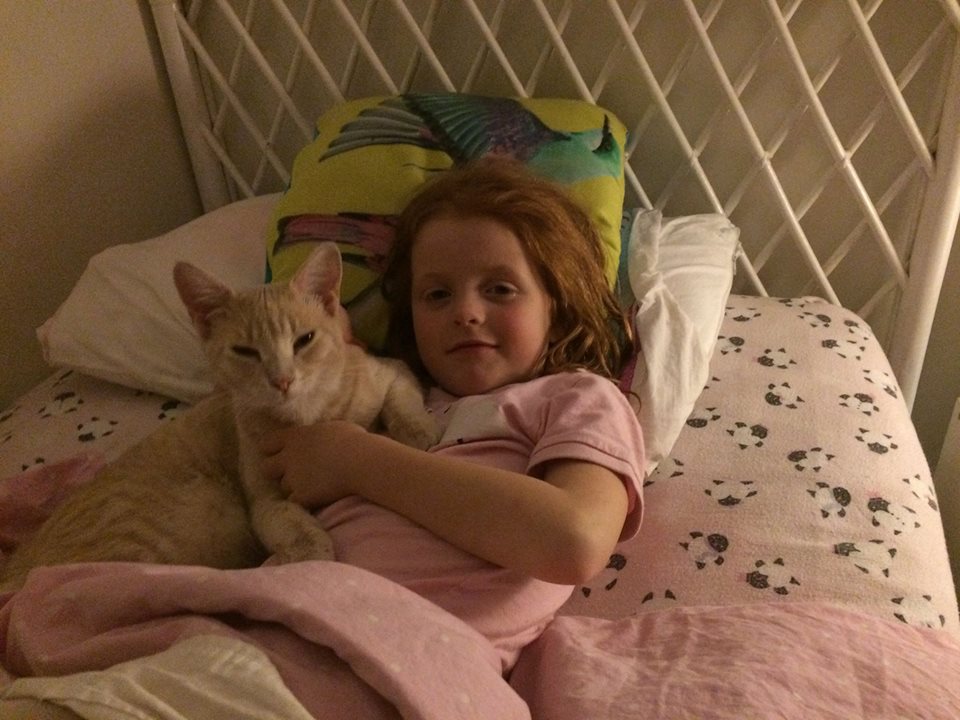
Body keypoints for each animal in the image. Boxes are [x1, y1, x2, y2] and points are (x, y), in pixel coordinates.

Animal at [0, 243, 439, 592]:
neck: (308, 417)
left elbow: (403, 403)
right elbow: (292, 525)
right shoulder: (262, 502)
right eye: (245, 352)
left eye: (304, 340)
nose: (282, 380)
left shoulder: (393, 371)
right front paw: (300, 557)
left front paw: (418, 432)